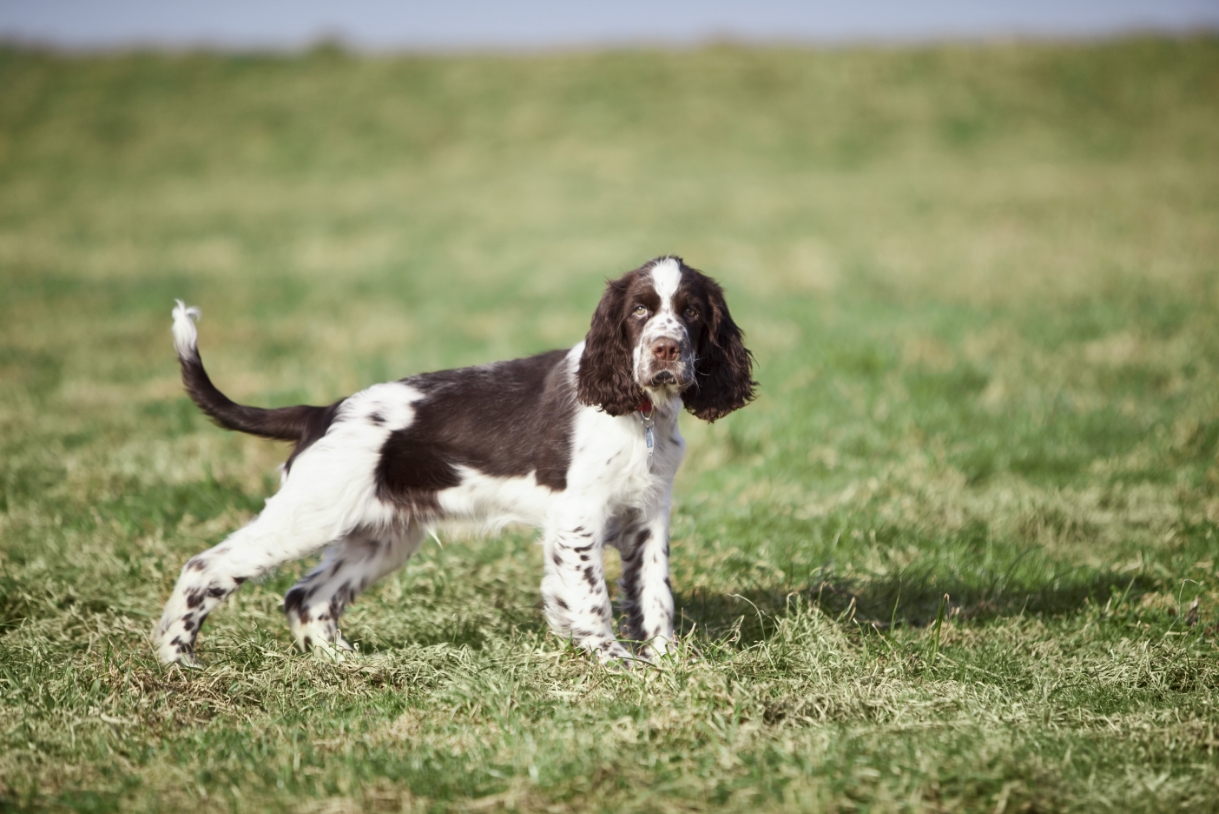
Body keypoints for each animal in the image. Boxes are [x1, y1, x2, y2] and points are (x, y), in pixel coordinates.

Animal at [154, 255, 750, 667]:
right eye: (640, 311)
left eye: (692, 312)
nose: (667, 350)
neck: (639, 412)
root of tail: (321, 413)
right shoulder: (578, 517)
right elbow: (592, 598)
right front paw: (613, 662)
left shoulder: (648, 514)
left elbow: (654, 594)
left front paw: (669, 662)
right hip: (310, 514)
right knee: (205, 567)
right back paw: (175, 658)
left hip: (382, 535)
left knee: (308, 595)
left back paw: (343, 662)